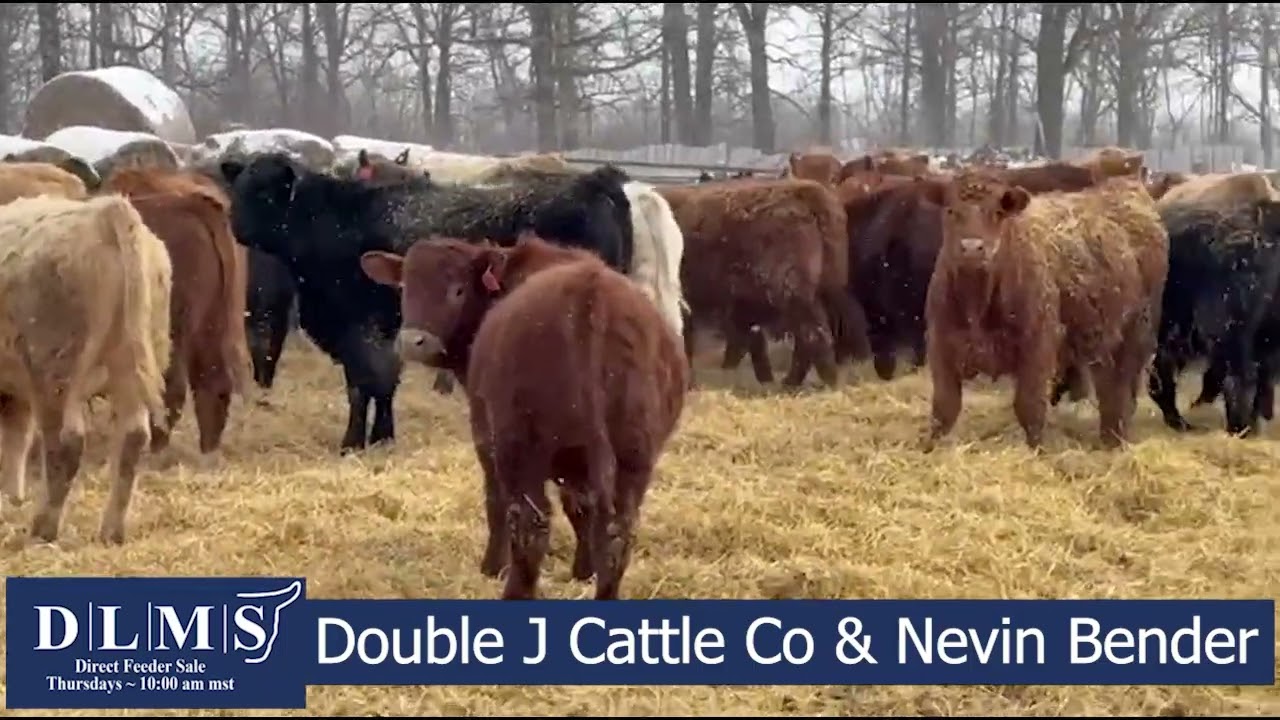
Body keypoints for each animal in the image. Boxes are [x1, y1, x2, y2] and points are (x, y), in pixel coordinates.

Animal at [0, 194, 172, 544]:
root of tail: (105, 212)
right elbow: (15, 440)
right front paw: (10, 499)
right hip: (133, 368)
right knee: (133, 439)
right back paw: (111, 532)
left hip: (56, 374)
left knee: (64, 445)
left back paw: (43, 528)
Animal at [102, 169, 252, 456]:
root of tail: (189, 202)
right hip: (212, 325)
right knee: (212, 382)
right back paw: (207, 449)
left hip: (173, 332)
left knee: (171, 387)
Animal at [222, 152, 634, 452]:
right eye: (239, 186)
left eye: (266, 192)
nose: (234, 224)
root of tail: (595, 182)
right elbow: (375, 385)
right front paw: (377, 438)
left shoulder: (363, 327)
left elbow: (368, 384)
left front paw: (361, 441)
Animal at [360, 234, 688, 600]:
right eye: (404, 286)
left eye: (457, 290)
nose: (413, 342)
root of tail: (590, 296)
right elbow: (581, 509)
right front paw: (583, 570)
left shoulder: (485, 434)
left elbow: (496, 501)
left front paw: (492, 566)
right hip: (633, 457)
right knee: (616, 532)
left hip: (519, 449)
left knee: (530, 524)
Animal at [924, 173, 1167, 450]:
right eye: (950, 210)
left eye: (997, 212)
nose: (972, 248)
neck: (977, 302)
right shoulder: (940, 346)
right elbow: (944, 408)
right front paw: (929, 448)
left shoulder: (1037, 348)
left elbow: (1030, 407)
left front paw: (1036, 451)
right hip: (1103, 342)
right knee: (1109, 389)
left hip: (1136, 334)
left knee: (1121, 391)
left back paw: (1115, 439)